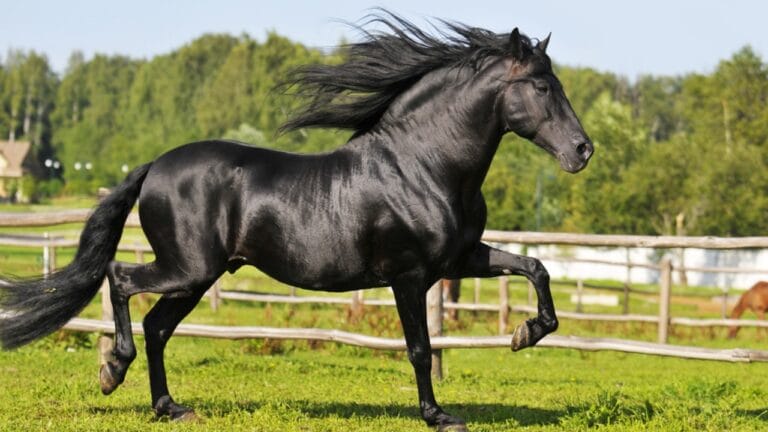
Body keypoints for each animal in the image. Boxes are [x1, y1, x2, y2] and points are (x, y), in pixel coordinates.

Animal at [0, 12, 592, 431]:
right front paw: (439, 416)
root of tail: (155, 166)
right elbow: (421, 350)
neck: (424, 164)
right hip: (187, 268)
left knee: (157, 325)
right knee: (121, 281)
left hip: (199, 276)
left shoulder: (459, 259)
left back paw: (170, 407)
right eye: (543, 87)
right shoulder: (409, 277)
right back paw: (112, 371)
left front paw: (524, 334)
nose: (583, 150)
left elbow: (534, 266)